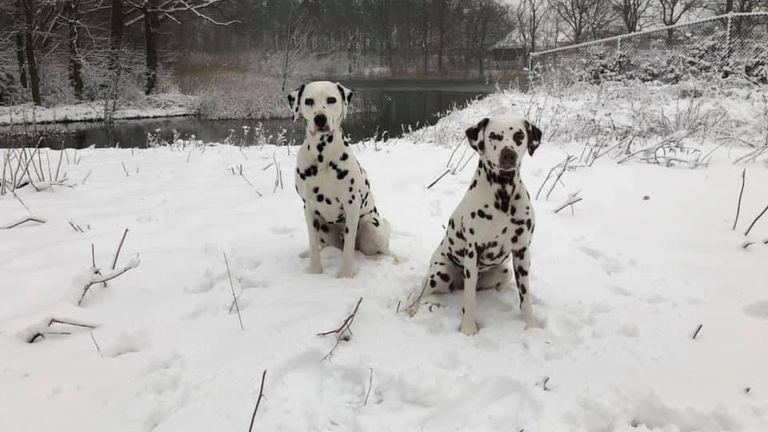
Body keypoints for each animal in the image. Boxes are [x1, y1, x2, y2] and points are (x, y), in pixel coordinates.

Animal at [292, 80, 392, 276]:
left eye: (331, 99)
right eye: (308, 101)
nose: (320, 119)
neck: (322, 156)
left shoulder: (351, 204)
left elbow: (348, 248)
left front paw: (345, 276)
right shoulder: (309, 207)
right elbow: (313, 245)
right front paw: (314, 272)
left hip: (370, 226)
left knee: (381, 250)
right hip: (324, 228)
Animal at [404, 116, 544, 336]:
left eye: (519, 135)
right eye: (494, 135)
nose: (509, 154)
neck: (503, 197)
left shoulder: (522, 251)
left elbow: (525, 297)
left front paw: (531, 326)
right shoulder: (473, 251)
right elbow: (469, 300)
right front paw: (468, 330)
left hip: (503, 272)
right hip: (440, 274)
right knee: (422, 288)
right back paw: (412, 308)